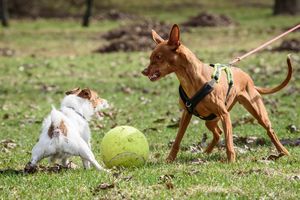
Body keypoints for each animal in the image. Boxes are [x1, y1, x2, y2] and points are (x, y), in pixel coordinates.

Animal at [142, 24, 292, 162]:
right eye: (151, 57)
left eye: (159, 57)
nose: (144, 72)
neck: (192, 79)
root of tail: (248, 78)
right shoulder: (186, 113)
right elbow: (178, 139)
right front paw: (170, 159)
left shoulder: (225, 115)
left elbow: (229, 142)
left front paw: (231, 161)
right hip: (211, 120)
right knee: (218, 133)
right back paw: (206, 152)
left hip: (257, 113)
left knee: (270, 131)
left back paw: (283, 152)